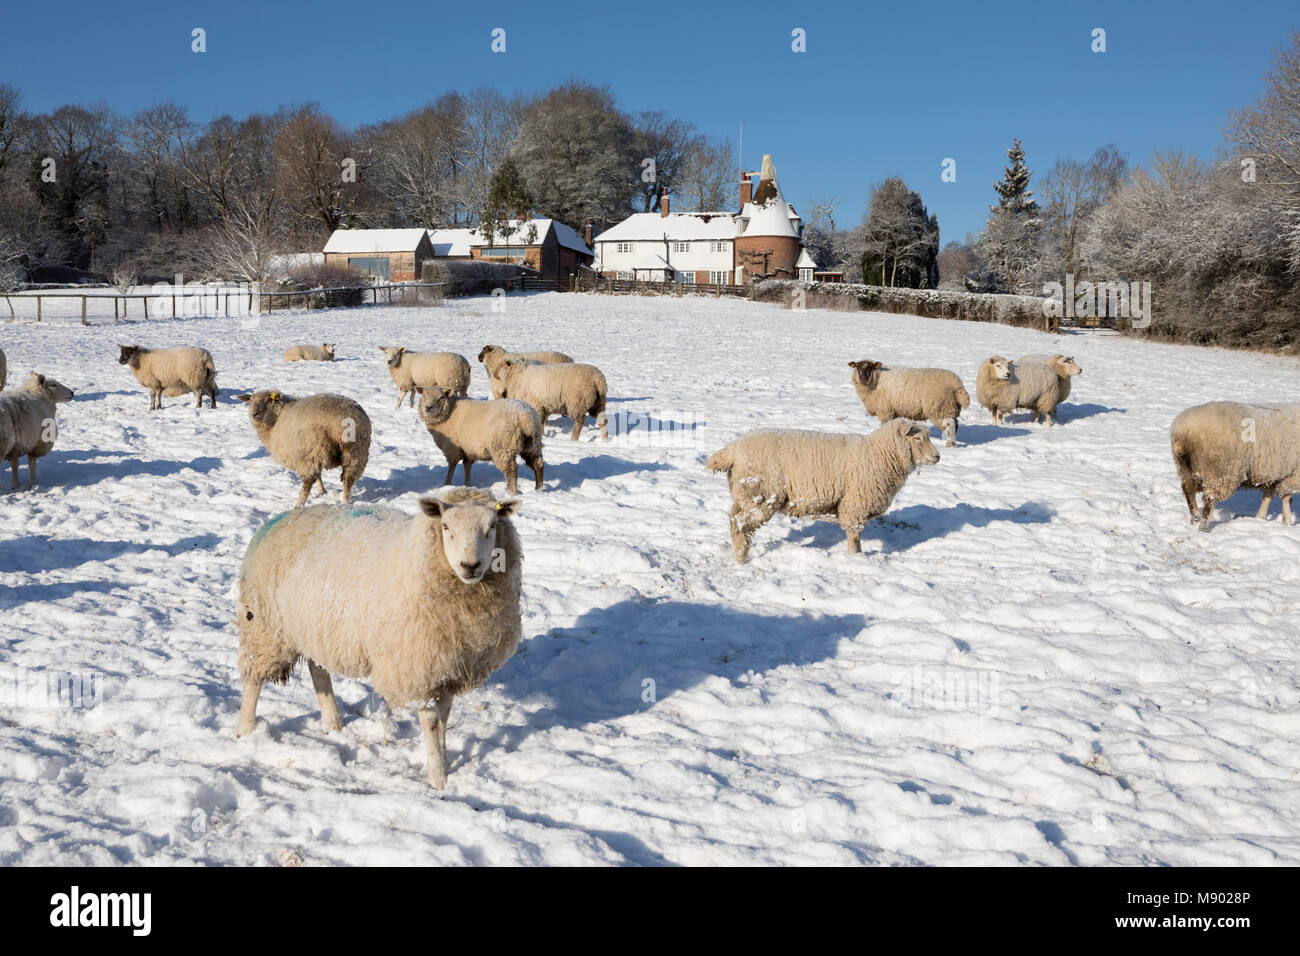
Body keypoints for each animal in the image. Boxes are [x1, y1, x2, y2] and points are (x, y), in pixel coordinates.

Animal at [233, 489, 522, 790]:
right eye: (445, 526)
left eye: (492, 526)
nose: (470, 565)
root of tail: (282, 517)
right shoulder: (417, 668)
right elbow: (432, 722)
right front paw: (437, 778)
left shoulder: (447, 668)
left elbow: (444, 717)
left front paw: (443, 762)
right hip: (264, 625)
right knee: (253, 679)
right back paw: (245, 731)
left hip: (315, 626)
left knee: (318, 670)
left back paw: (333, 724)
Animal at [236, 390, 371, 509]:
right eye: (251, 400)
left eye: (268, 400)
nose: (254, 414)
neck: (277, 419)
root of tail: (344, 419)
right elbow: (319, 474)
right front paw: (322, 492)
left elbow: (316, 475)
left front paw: (320, 491)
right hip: (356, 451)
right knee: (348, 480)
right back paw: (345, 502)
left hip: (308, 450)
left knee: (308, 482)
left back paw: (298, 505)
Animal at [707, 421, 941, 564]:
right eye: (917, 439)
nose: (937, 457)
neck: (878, 454)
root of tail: (731, 451)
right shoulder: (855, 504)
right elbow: (854, 536)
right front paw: (856, 558)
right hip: (760, 496)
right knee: (740, 524)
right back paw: (741, 558)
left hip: (744, 494)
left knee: (733, 519)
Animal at [1170, 398, 1300, 530]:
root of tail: (1185, 433)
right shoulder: (1293, 476)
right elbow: (1287, 498)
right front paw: (1287, 522)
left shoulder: (1271, 475)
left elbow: (1268, 496)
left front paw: (1260, 518)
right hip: (1219, 470)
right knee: (1209, 500)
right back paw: (1203, 527)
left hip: (1186, 467)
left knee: (1188, 489)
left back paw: (1196, 516)